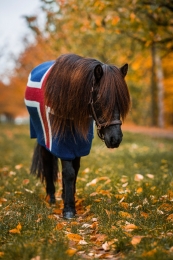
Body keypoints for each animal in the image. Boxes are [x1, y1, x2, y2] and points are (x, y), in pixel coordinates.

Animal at [24, 53, 130, 219]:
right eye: (100, 101)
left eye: (120, 102)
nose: (115, 139)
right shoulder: (61, 143)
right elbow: (68, 173)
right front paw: (68, 209)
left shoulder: (79, 144)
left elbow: (75, 170)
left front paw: (69, 198)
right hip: (43, 138)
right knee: (47, 163)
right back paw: (51, 197)